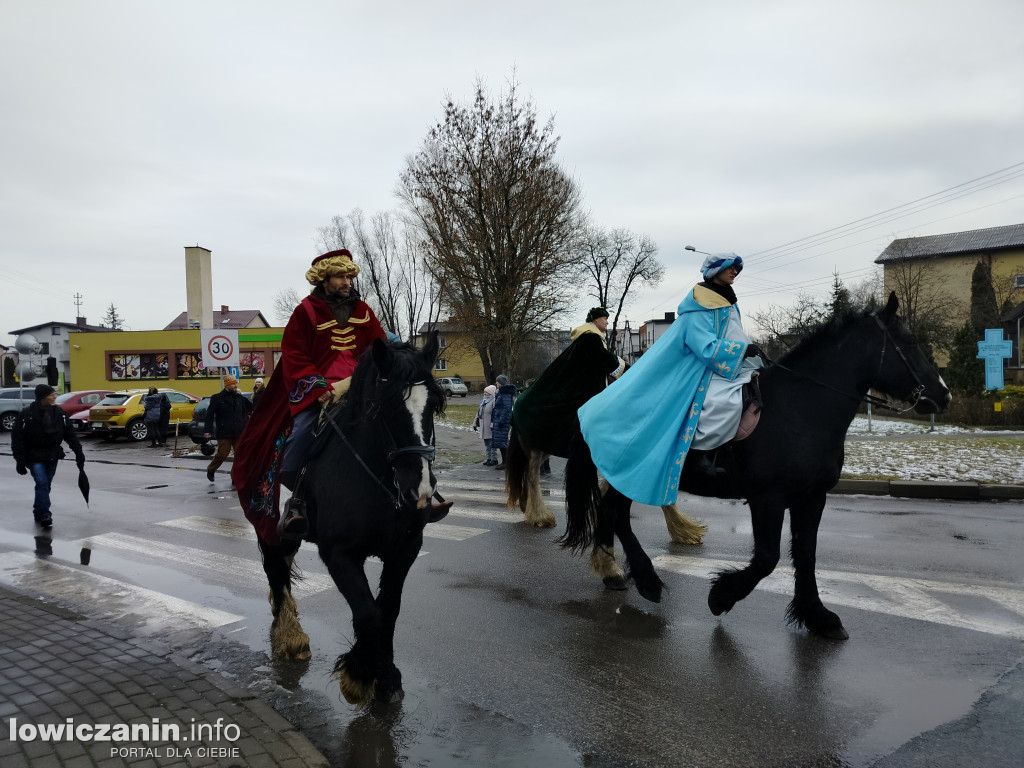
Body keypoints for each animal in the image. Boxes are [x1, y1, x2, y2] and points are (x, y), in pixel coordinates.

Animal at [248, 333, 448, 708]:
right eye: (388, 408)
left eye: (432, 407)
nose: (420, 490)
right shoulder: (339, 554)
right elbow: (368, 613)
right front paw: (361, 675)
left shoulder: (405, 549)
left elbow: (388, 610)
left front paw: (385, 677)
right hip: (270, 527)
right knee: (275, 571)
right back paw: (289, 636)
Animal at [561, 294, 950, 643]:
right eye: (910, 342)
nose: (943, 395)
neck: (798, 409)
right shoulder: (768, 498)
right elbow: (767, 558)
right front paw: (721, 596)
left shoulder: (812, 497)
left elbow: (805, 553)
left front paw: (819, 617)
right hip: (632, 474)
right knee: (616, 514)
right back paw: (647, 581)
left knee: (609, 513)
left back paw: (616, 575)